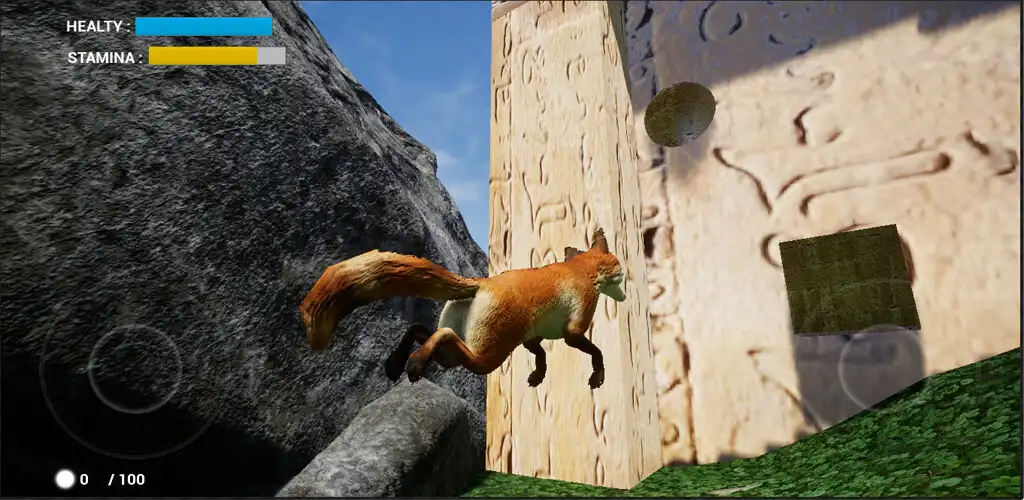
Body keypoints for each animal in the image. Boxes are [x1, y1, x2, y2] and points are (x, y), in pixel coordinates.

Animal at [299, 227, 626, 388]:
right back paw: (414, 363)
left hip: (455, 356)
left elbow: (541, 355)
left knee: (421, 330)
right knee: (442, 334)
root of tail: (481, 283)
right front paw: (598, 378)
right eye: (620, 268)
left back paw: (397, 363)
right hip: (487, 357)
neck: (580, 272)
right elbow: (595, 351)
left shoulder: (531, 337)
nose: (625, 293)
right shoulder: (573, 330)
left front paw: (537, 377)